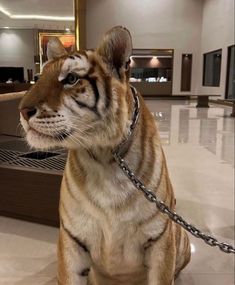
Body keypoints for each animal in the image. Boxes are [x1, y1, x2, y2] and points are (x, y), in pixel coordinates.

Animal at [18, 26, 191, 284]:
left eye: (71, 79)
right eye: (38, 78)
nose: (22, 110)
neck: (105, 157)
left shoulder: (160, 240)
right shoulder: (71, 238)